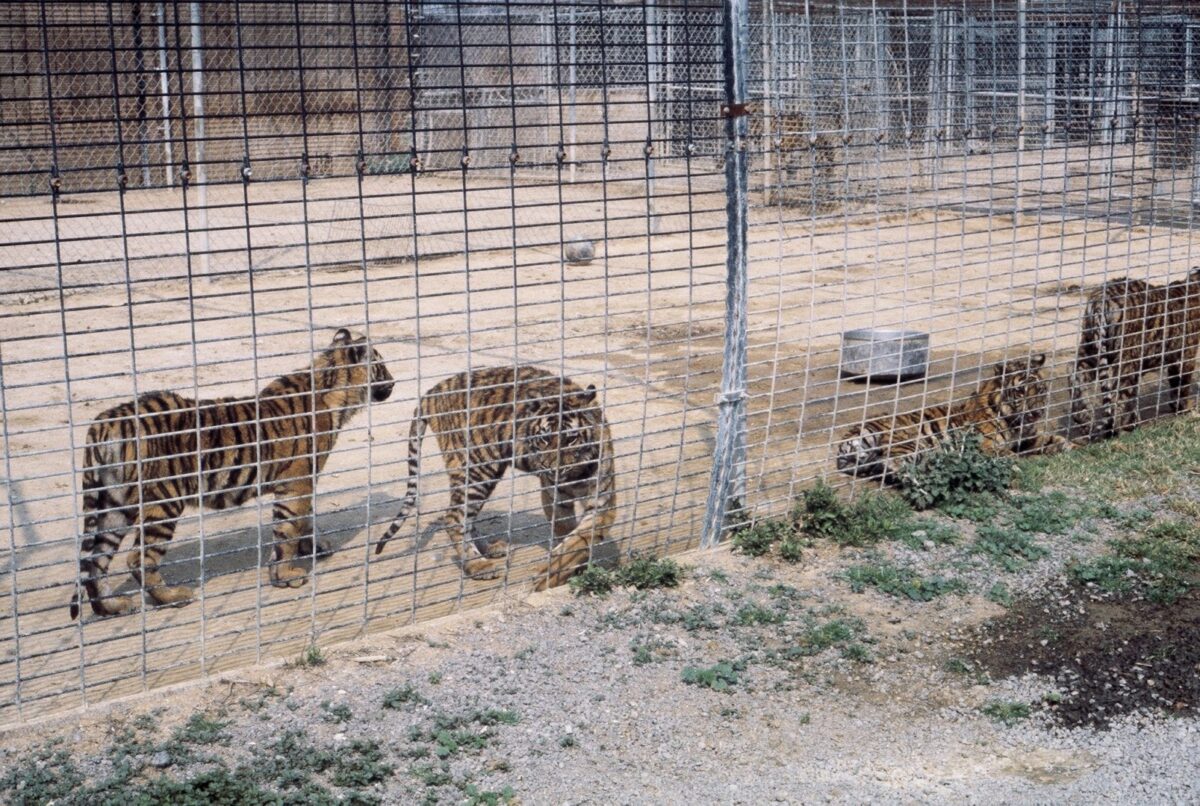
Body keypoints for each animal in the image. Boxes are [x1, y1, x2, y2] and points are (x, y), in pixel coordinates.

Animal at [68, 326, 396, 618]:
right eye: (381, 366)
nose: (394, 382)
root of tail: (106, 422)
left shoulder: (303, 481)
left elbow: (305, 519)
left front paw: (312, 547)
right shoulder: (296, 482)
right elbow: (288, 528)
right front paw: (286, 575)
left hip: (114, 503)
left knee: (97, 562)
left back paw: (112, 607)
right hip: (163, 500)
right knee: (138, 558)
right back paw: (172, 597)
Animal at [374, 364, 619, 592]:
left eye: (570, 439)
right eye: (544, 439)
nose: (551, 470)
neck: (575, 473)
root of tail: (432, 391)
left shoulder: (601, 501)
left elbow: (577, 539)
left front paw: (569, 569)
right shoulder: (554, 497)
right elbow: (569, 536)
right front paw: (552, 576)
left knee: (467, 518)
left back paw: (489, 550)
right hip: (478, 468)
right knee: (454, 517)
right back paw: (477, 566)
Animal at [835, 355, 1070, 482]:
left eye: (1040, 389)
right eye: (1021, 391)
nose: (1037, 413)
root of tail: (848, 437)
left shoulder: (1030, 438)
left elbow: (1056, 439)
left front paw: (1071, 448)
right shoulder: (986, 445)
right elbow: (1008, 454)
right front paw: (1018, 465)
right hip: (912, 443)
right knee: (894, 464)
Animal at [1070, 266, 1200, 441]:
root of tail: (1101, 301)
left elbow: (1134, 397)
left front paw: (1133, 421)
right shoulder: (1185, 357)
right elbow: (1181, 386)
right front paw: (1184, 409)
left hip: (1089, 350)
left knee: (1076, 379)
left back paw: (1084, 422)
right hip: (1125, 361)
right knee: (1115, 398)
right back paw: (1114, 431)